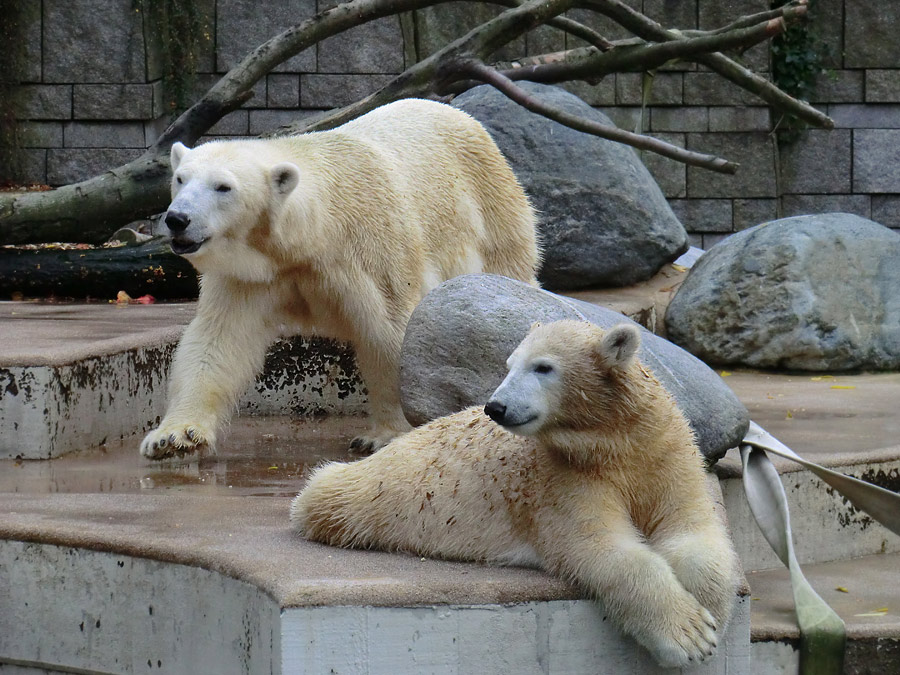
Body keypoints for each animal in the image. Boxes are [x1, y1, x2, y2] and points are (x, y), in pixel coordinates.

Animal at [137, 99, 536, 460]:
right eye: (180, 179)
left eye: (223, 187)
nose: (177, 219)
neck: (314, 235)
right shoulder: (250, 274)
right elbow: (218, 339)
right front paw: (174, 436)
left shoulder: (372, 252)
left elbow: (390, 332)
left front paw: (383, 435)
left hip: (491, 211)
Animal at [292, 322, 740, 672]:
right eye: (509, 366)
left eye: (543, 367)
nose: (496, 406)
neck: (615, 442)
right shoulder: (561, 478)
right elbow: (602, 547)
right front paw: (687, 635)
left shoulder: (665, 453)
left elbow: (691, 526)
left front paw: (710, 611)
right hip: (378, 490)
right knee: (332, 493)